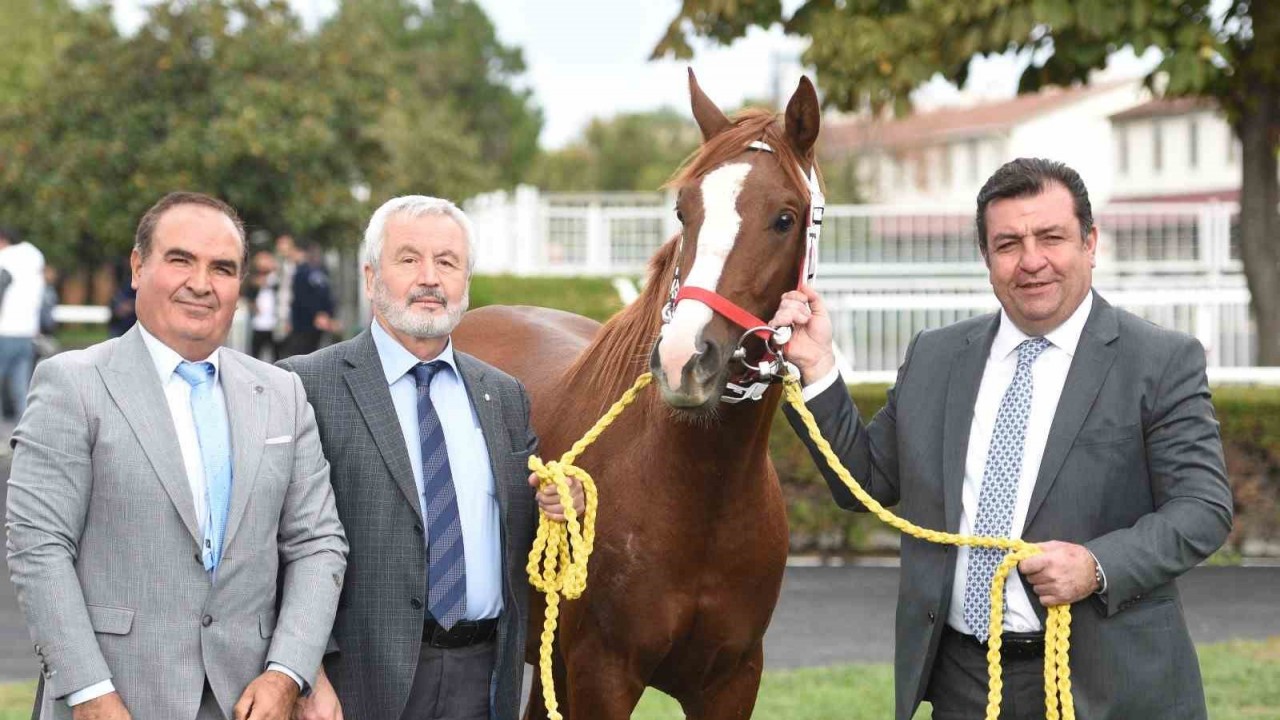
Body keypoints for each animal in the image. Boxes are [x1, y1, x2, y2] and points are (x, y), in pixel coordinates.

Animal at [450, 70, 824, 712]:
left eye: (785, 217)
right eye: (683, 209)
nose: (683, 360)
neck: (702, 494)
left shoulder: (733, 680)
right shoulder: (603, 674)